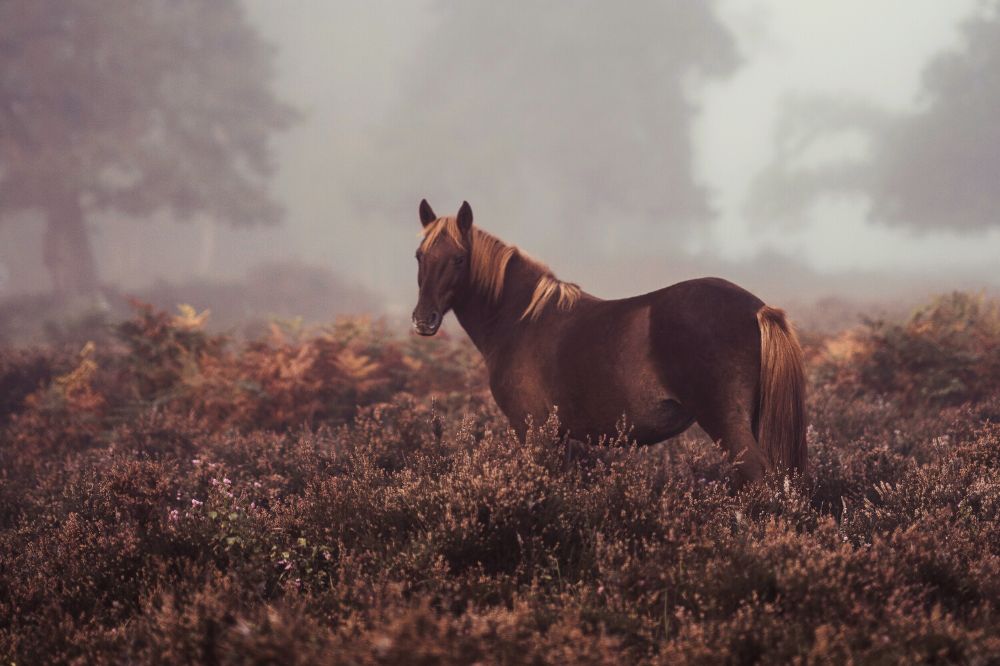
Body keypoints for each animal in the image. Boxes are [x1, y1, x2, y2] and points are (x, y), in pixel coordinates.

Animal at [410, 197, 808, 482]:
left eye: (460, 259)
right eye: (419, 256)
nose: (423, 320)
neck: (521, 319)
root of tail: (759, 309)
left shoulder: (532, 431)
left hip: (728, 425)